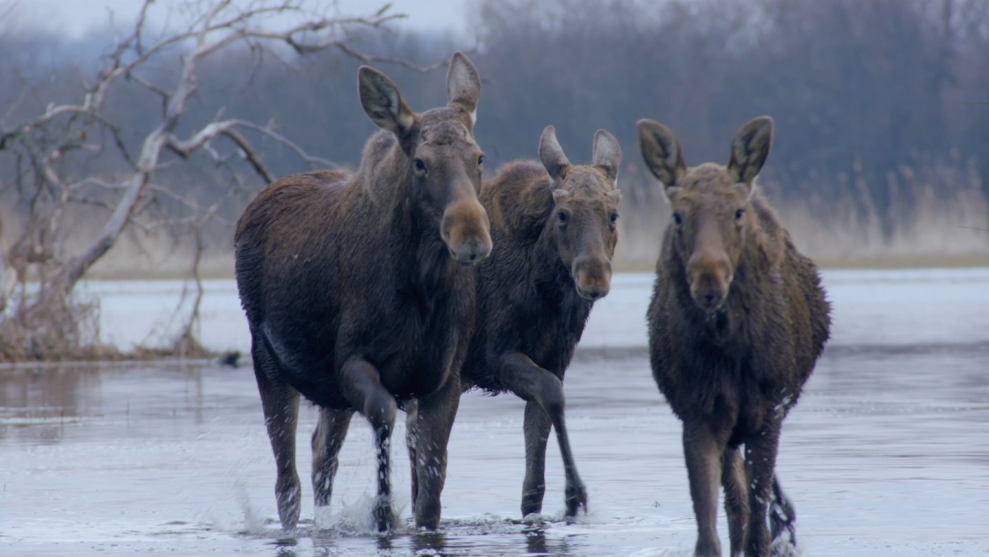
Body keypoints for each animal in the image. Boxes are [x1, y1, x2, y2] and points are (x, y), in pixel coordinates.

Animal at [235, 54, 490, 532]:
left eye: (479, 157)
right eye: (420, 162)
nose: (471, 236)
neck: (423, 289)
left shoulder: (444, 377)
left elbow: (431, 490)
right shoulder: (352, 361)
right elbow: (384, 415)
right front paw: (382, 511)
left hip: (329, 395)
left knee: (321, 453)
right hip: (268, 359)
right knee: (287, 480)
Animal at [446, 125, 616, 516]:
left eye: (613, 215)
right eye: (563, 214)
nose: (594, 277)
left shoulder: (554, 358)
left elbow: (533, 473)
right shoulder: (495, 354)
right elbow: (552, 394)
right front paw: (575, 493)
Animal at [636, 115, 828, 552]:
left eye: (738, 212)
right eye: (678, 216)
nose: (708, 279)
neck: (729, 349)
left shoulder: (769, 409)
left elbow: (756, 527)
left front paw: (776, 532)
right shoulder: (699, 412)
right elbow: (712, 528)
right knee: (735, 501)